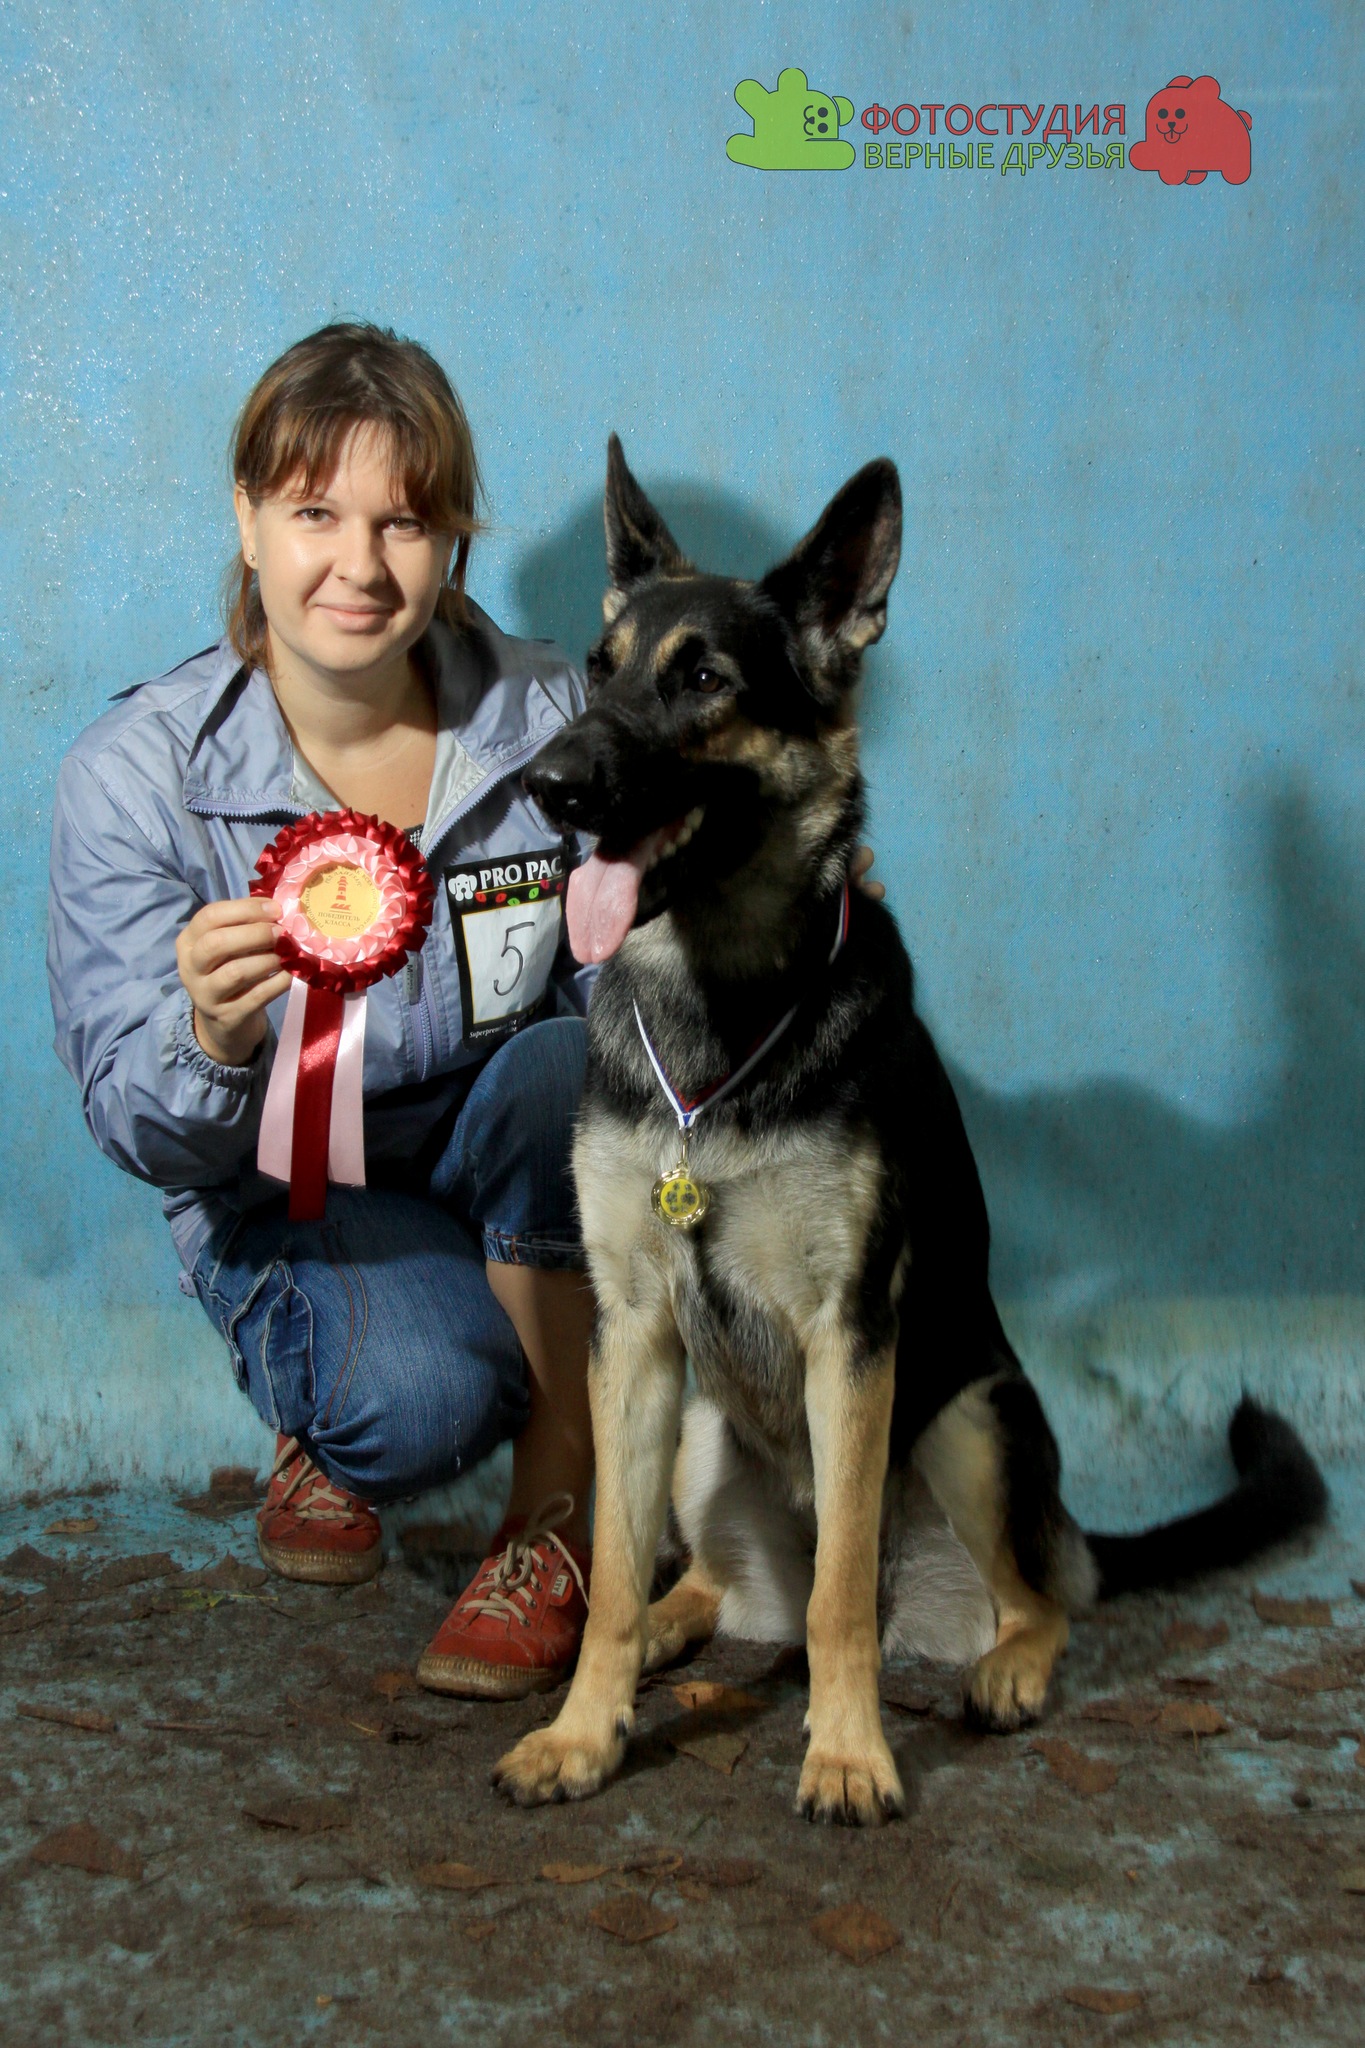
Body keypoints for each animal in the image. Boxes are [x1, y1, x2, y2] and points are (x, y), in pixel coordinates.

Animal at [494, 438, 1326, 1825]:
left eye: (704, 680)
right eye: (598, 669)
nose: (546, 786)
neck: (723, 1016)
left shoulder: (853, 1337)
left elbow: (842, 1594)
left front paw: (846, 1752)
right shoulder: (634, 1334)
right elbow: (609, 1571)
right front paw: (583, 1730)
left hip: (967, 1420)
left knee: (1021, 1598)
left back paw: (1006, 1667)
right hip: (699, 1437)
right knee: (705, 1582)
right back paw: (673, 1625)